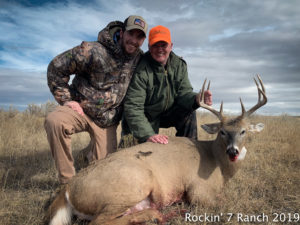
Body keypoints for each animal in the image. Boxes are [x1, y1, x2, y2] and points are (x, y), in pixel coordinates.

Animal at [46, 74, 268, 224]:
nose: (233, 151)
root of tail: (67, 188)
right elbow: (223, 203)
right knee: (99, 222)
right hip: (134, 183)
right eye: (222, 132)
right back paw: (156, 215)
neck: (219, 166)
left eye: (244, 131)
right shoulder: (197, 190)